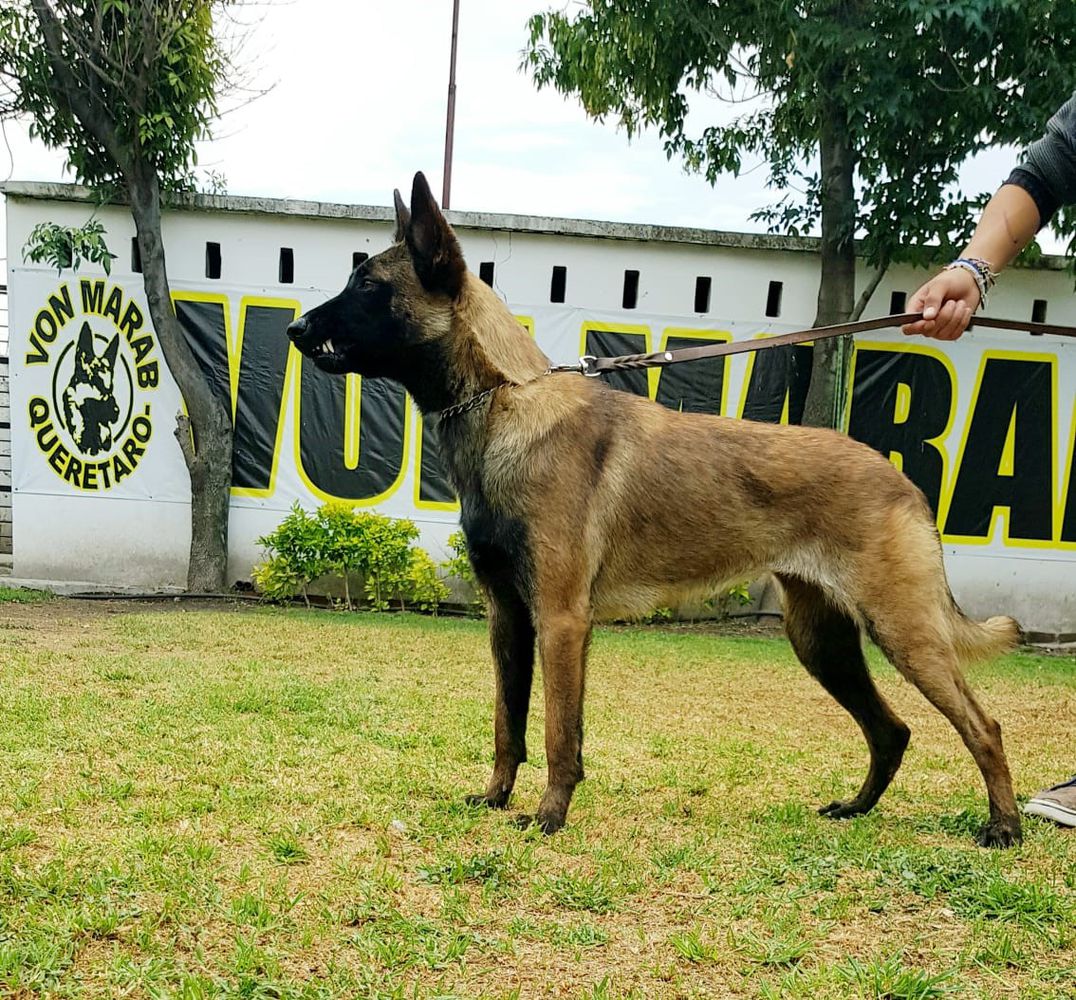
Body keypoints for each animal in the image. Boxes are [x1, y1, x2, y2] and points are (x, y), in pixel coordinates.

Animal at [288, 170, 1024, 843]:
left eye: (367, 287)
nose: (295, 327)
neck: (505, 400)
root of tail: (903, 480)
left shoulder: (561, 620)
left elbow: (557, 734)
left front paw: (549, 816)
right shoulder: (509, 618)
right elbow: (507, 724)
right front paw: (496, 798)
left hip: (902, 633)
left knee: (983, 726)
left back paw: (1004, 826)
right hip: (822, 641)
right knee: (892, 730)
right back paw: (857, 809)